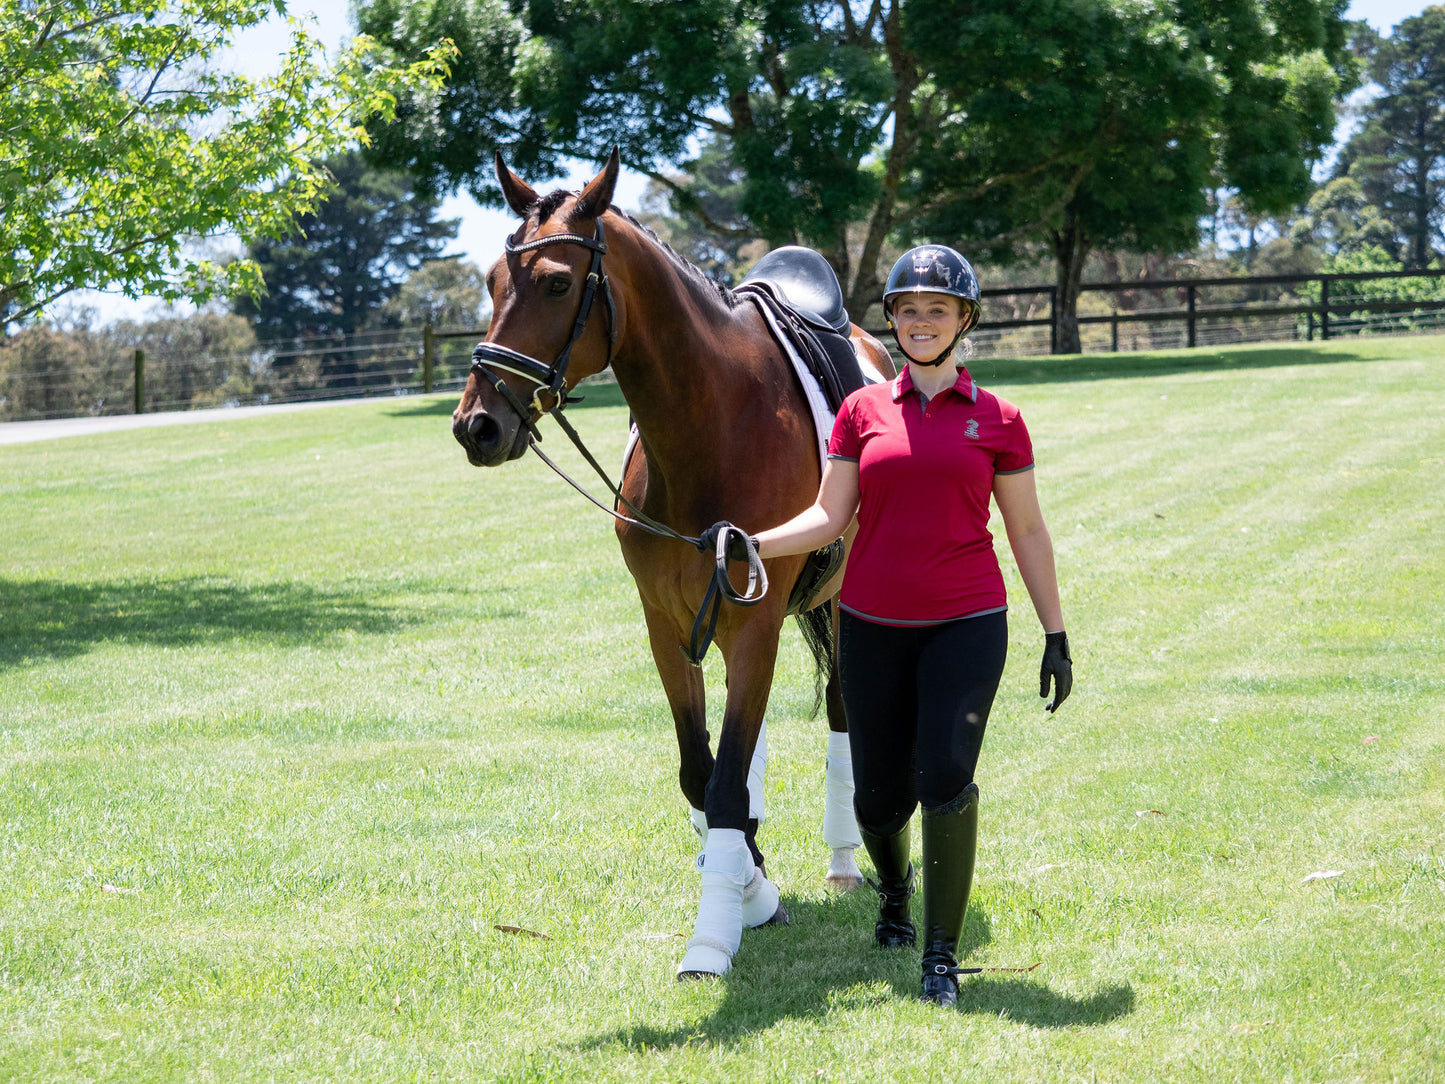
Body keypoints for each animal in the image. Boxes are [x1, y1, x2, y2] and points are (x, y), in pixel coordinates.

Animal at [450, 146, 890, 982]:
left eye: (556, 283)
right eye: (491, 282)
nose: (476, 426)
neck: (713, 421)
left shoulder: (755, 626)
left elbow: (723, 781)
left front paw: (714, 935)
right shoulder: (666, 623)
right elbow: (704, 771)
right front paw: (748, 886)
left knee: (846, 711)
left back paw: (845, 860)